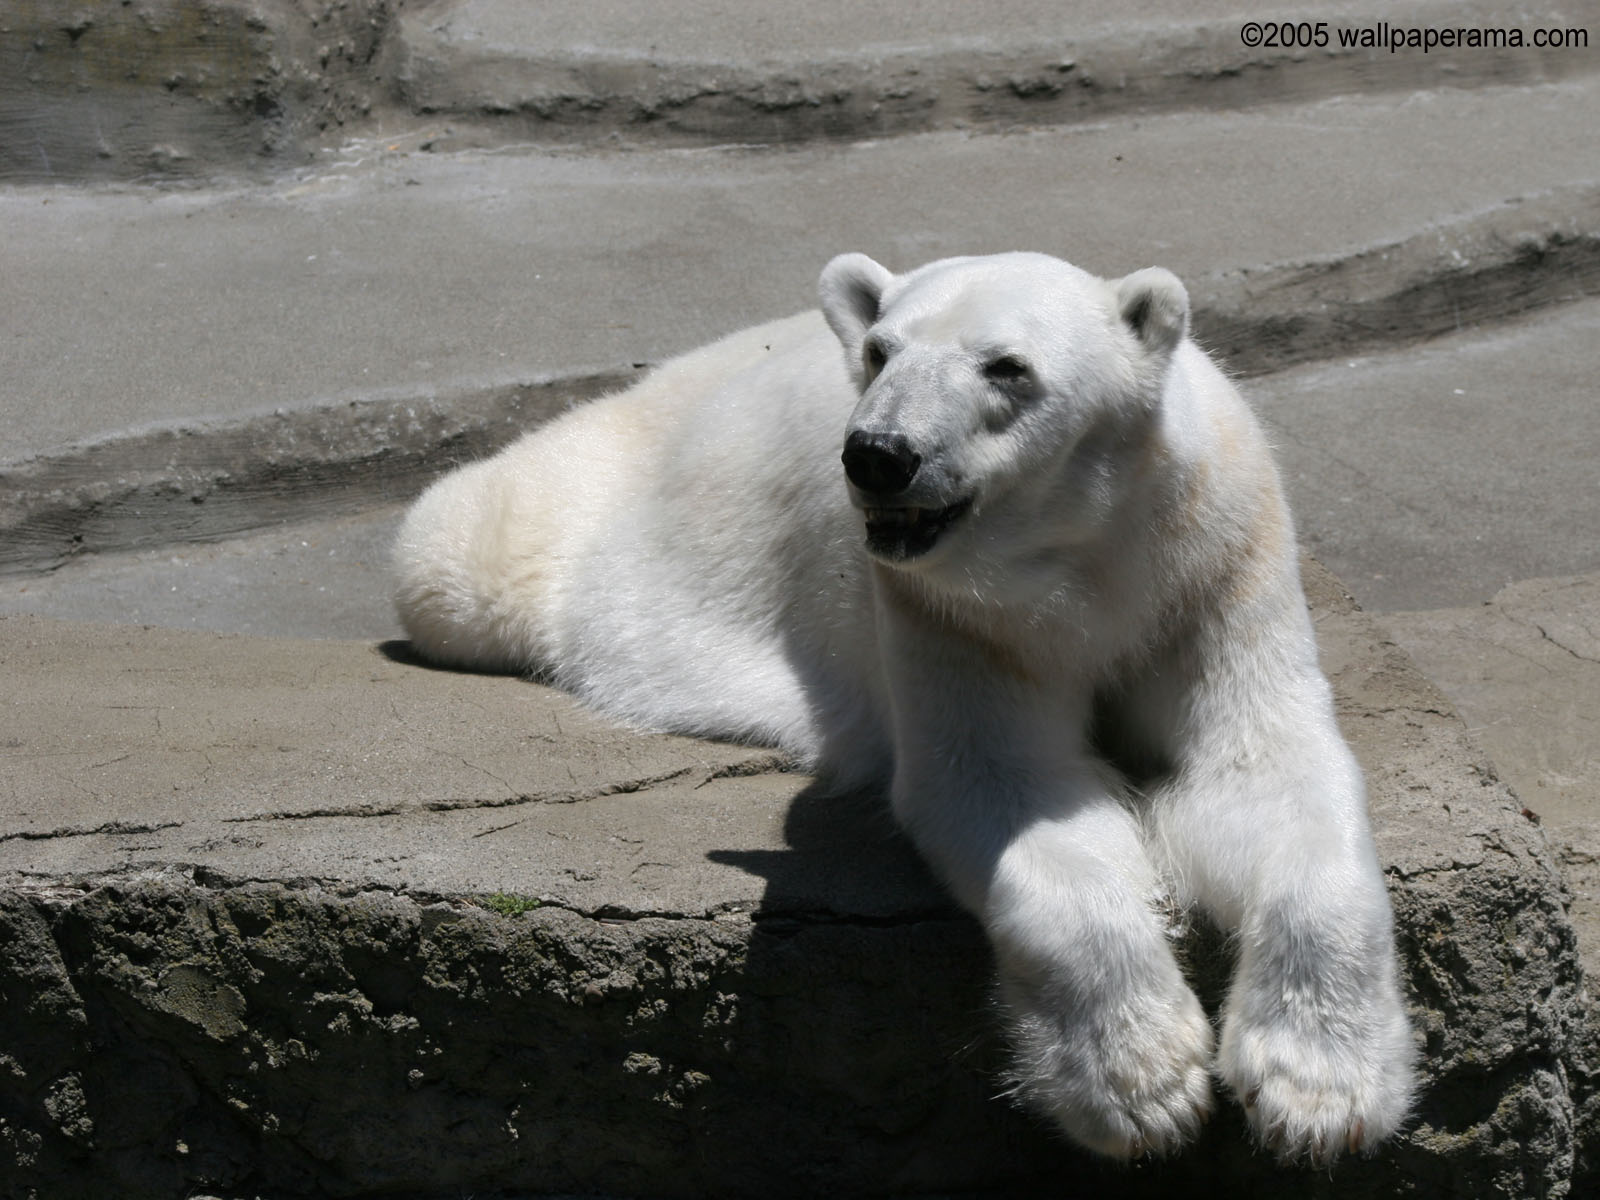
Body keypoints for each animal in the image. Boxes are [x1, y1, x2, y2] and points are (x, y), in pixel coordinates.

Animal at [396, 251, 1414, 1164]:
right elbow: (1008, 785)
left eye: (1007, 366)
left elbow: (1260, 767)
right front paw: (1141, 1087)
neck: (1079, 559)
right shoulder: (951, 613)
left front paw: (1320, 1089)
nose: (878, 455)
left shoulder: (1213, 563)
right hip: (577, 507)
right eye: (881, 351)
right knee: (451, 544)